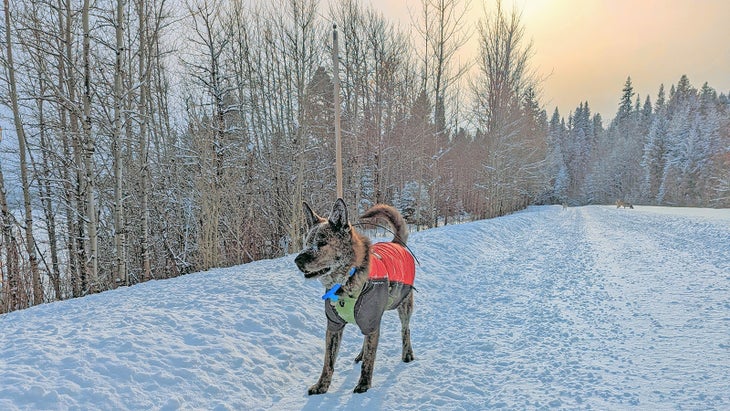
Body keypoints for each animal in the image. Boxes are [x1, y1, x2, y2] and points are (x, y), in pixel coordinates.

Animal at [292, 200, 416, 396]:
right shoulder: (334, 326)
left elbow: (369, 361)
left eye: (322, 242)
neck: (345, 282)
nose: (297, 261)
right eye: (307, 242)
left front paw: (364, 384)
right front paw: (322, 385)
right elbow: (328, 362)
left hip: (403, 305)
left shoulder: (371, 321)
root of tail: (396, 243)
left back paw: (407, 353)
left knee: (406, 330)